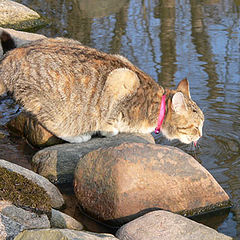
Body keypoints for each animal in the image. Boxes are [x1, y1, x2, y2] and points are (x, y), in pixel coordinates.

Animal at [0, 37, 204, 144]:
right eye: (196, 126)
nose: (201, 135)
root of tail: (9, 56)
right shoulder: (121, 79)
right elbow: (108, 118)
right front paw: (109, 130)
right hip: (54, 106)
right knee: (52, 121)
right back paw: (77, 136)